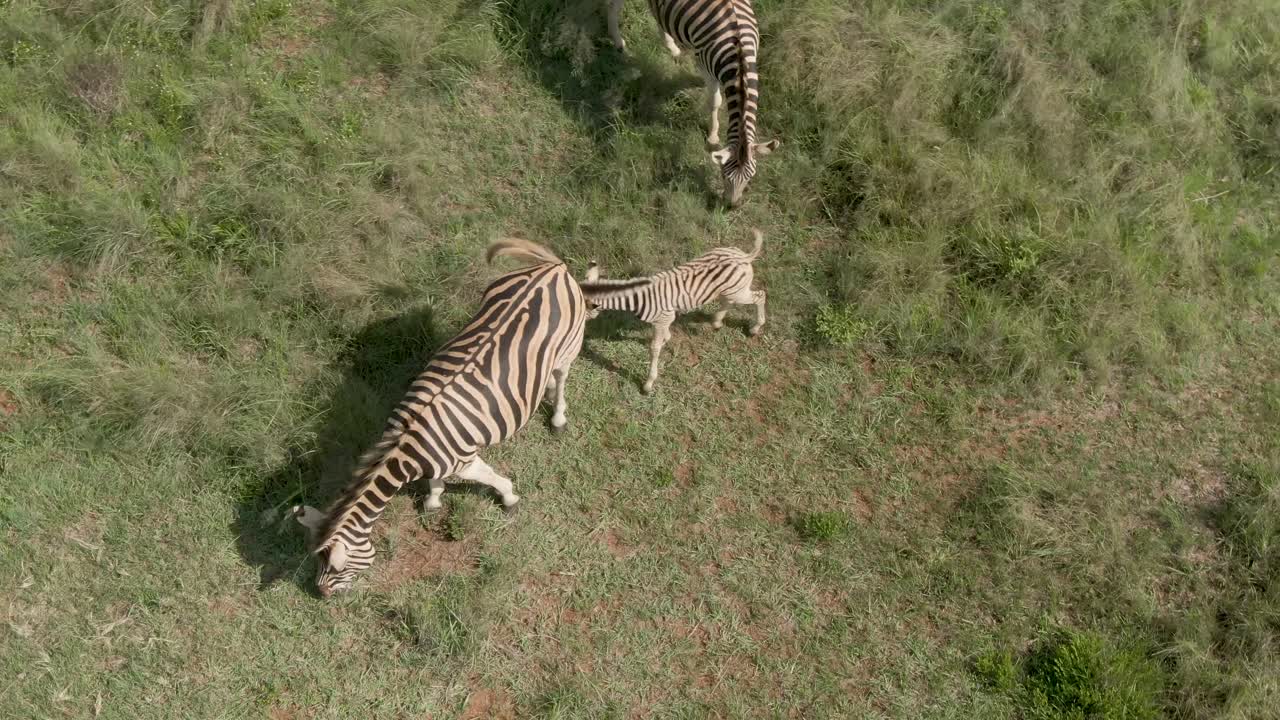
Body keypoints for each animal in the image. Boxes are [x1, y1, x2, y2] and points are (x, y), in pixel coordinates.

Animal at [294, 239, 588, 597]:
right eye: (317, 562)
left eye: (339, 567)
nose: (319, 595)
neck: (408, 448)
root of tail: (554, 268)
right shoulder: (440, 462)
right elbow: (436, 480)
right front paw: (433, 502)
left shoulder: (466, 461)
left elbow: (492, 478)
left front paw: (510, 498)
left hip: (568, 348)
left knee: (562, 377)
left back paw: (558, 416)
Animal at [582, 228, 766, 394]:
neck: (637, 297)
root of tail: (743, 255)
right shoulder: (665, 319)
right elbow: (665, 335)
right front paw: (667, 339)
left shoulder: (661, 319)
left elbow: (654, 349)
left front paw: (648, 384)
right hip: (729, 290)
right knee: (729, 302)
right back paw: (717, 322)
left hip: (739, 292)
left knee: (760, 296)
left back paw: (755, 329)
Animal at [607, 0, 781, 207]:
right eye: (724, 175)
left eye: (750, 178)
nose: (731, 206)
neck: (738, 55)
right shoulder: (704, 64)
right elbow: (715, 101)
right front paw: (712, 136)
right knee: (612, 8)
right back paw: (619, 44)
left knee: (656, 14)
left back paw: (673, 49)